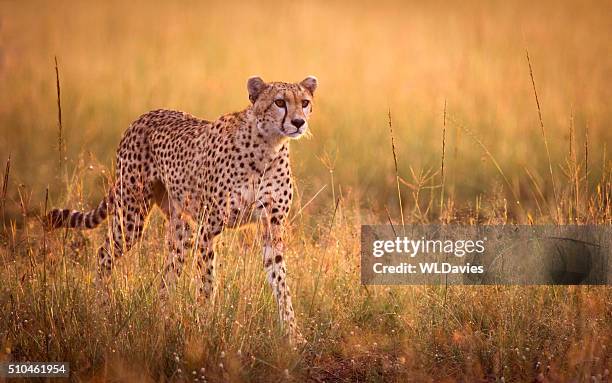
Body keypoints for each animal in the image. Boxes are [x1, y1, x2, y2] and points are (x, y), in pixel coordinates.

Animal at [45, 75, 318, 344]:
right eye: (279, 102)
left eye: (304, 102)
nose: (298, 122)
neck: (268, 146)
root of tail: (144, 115)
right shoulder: (209, 228)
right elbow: (207, 283)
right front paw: (206, 327)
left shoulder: (272, 225)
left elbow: (280, 281)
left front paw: (293, 335)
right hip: (131, 215)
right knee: (104, 254)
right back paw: (101, 311)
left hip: (181, 230)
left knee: (167, 274)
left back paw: (163, 322)